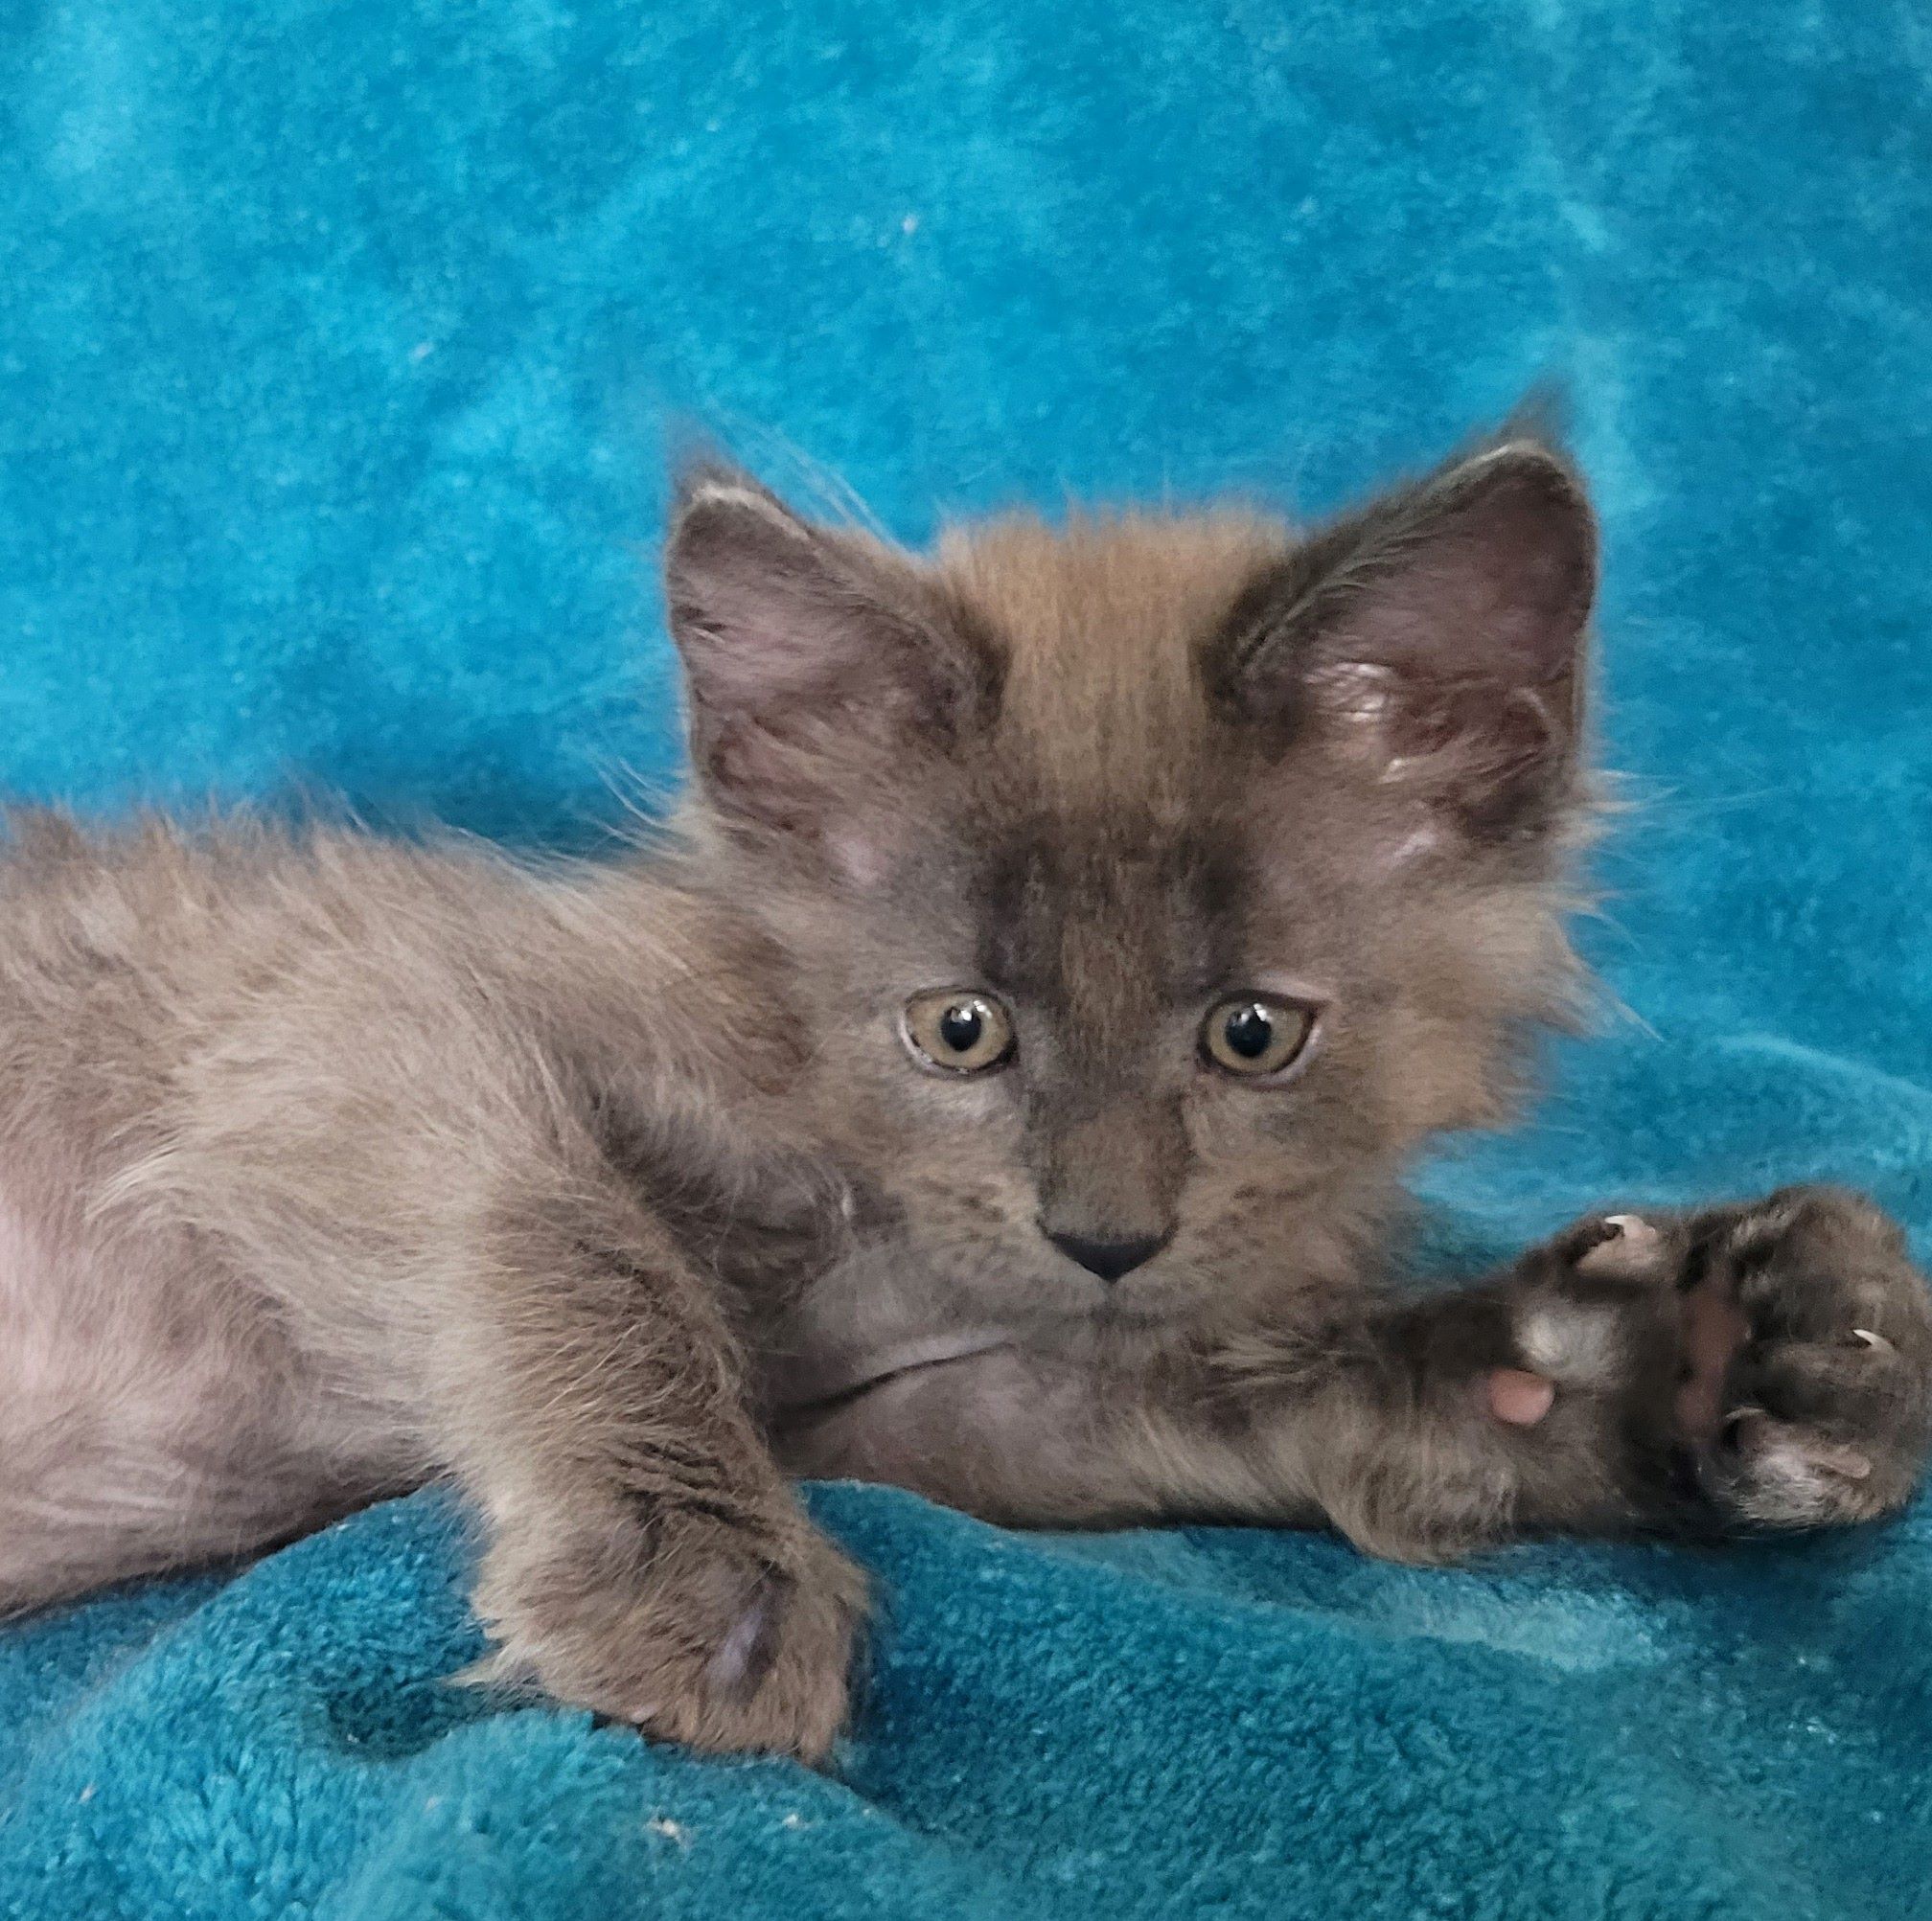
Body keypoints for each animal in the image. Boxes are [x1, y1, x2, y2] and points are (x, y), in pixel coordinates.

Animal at [3, 436, 1932, 1760]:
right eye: (960, 1031)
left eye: (1251, 1035)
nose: (1105, 1232)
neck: (861, 1207)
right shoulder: (346, 1010)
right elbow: (572, 1240)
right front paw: (698, 1580)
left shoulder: (917, 1413)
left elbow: (1255, 1393)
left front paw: (1661, 1367)